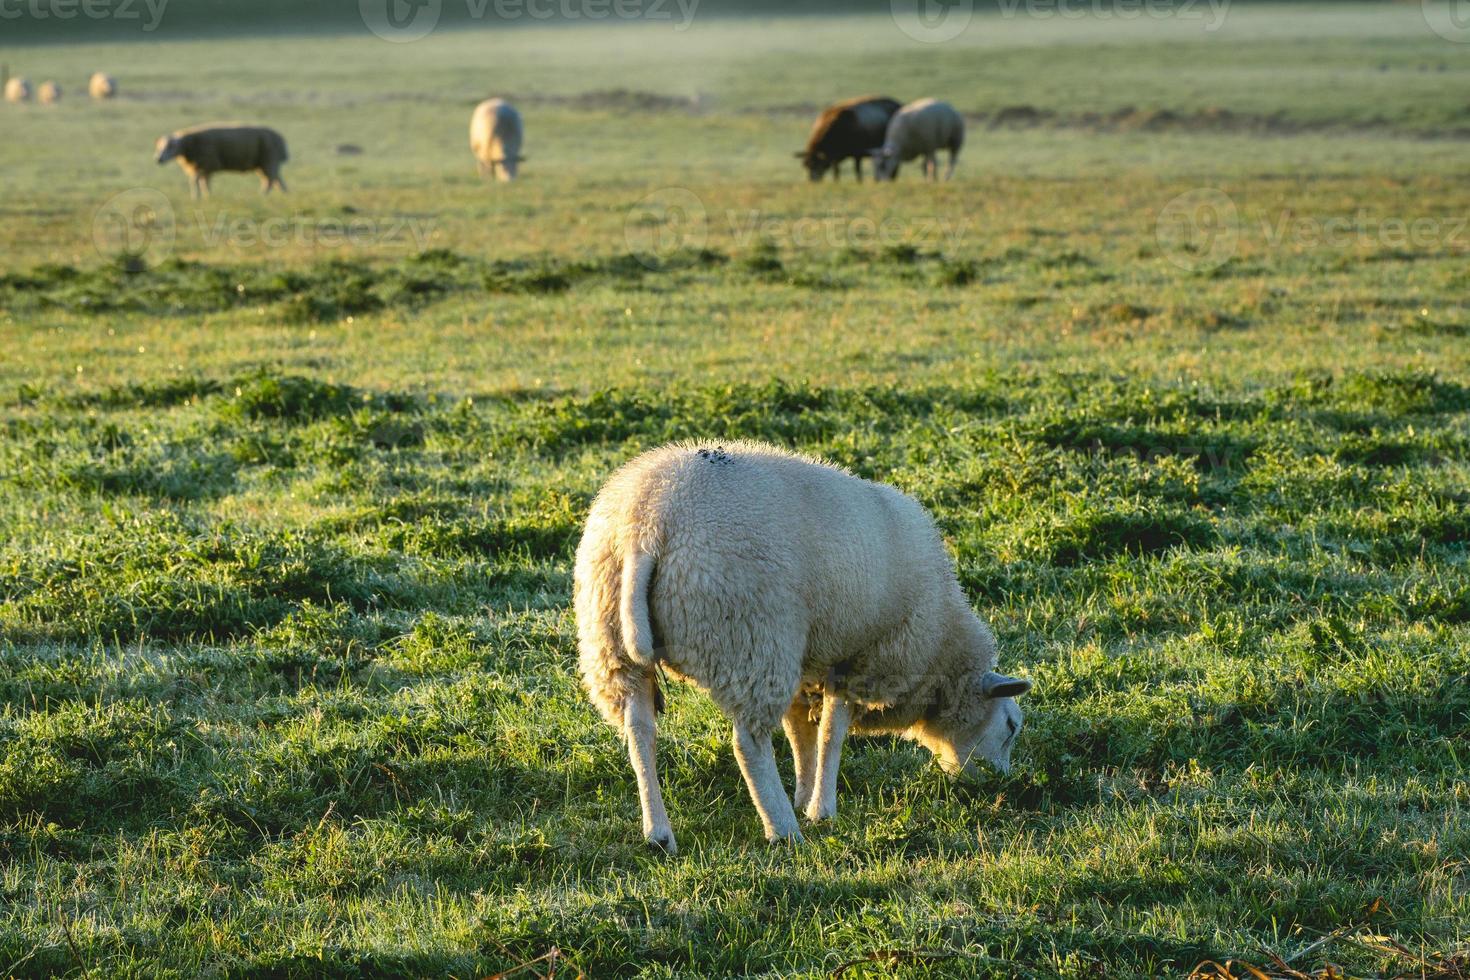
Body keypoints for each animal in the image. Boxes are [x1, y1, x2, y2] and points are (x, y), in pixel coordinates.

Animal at [156, 123, 291, 198]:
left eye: (170, 146)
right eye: (159, 147)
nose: (158, 159)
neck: (188, 145)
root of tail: (281, 139)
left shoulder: (206, 165)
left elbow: (196, 181)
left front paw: (197, 197)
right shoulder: (204, 168)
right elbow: (204, 183)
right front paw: (207, 197)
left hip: (269, 160)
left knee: (270, 180)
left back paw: (263, 195)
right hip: (264, 164)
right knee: (276, 180)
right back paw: (284, 195)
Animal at [567, 440, 1029, 852]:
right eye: (1011, 727)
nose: (1003, 784)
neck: (939, 646)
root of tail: (646, 526)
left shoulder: (809, 658)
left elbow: (800, 731)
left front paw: (805, 794)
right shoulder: (858, 659)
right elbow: (830, 735)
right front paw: (822, 809)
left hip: (611, 643)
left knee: (639, 731)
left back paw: (659, 834)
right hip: (752, 638)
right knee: (748, 744)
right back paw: (782, 829)